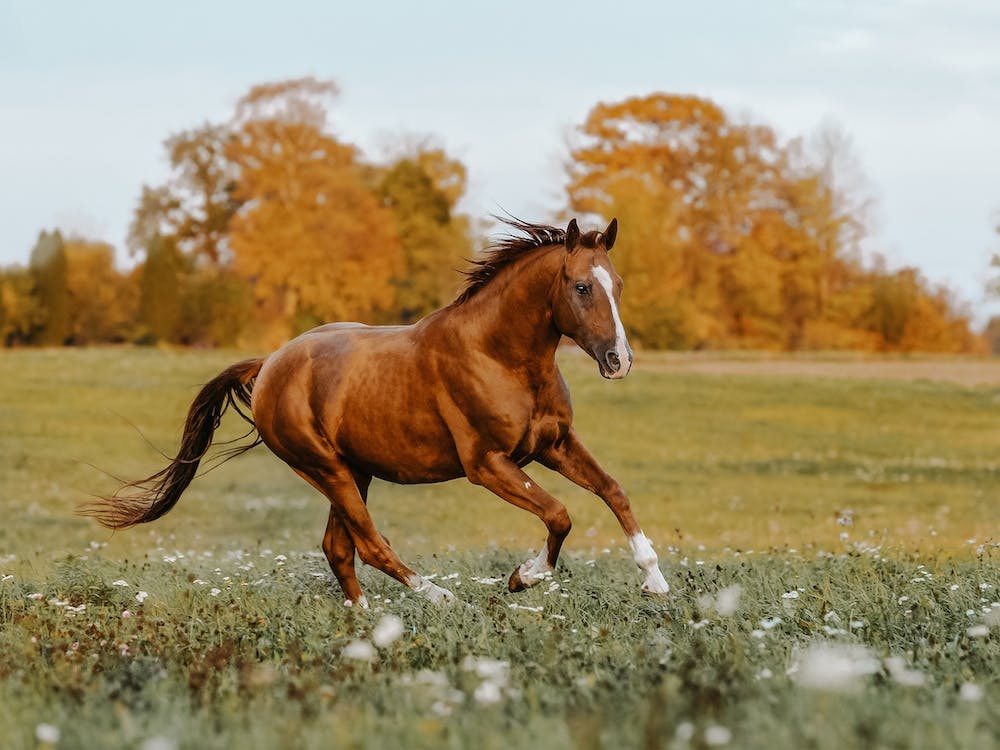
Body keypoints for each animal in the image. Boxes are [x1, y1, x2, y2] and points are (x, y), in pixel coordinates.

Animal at [82, 217, 670, 607]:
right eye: (581, 286)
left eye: (617, 285)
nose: (619, 361)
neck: (498, 355)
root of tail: (270, 364)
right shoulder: (488, 465)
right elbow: (559, 514)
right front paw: (523, 577)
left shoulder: (554, 445)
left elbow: (613, 491)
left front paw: (655, 581)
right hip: (328, 470)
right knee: (368, 544)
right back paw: (437, 598)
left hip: (354, 471)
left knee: (338, 548)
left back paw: (365, 622)